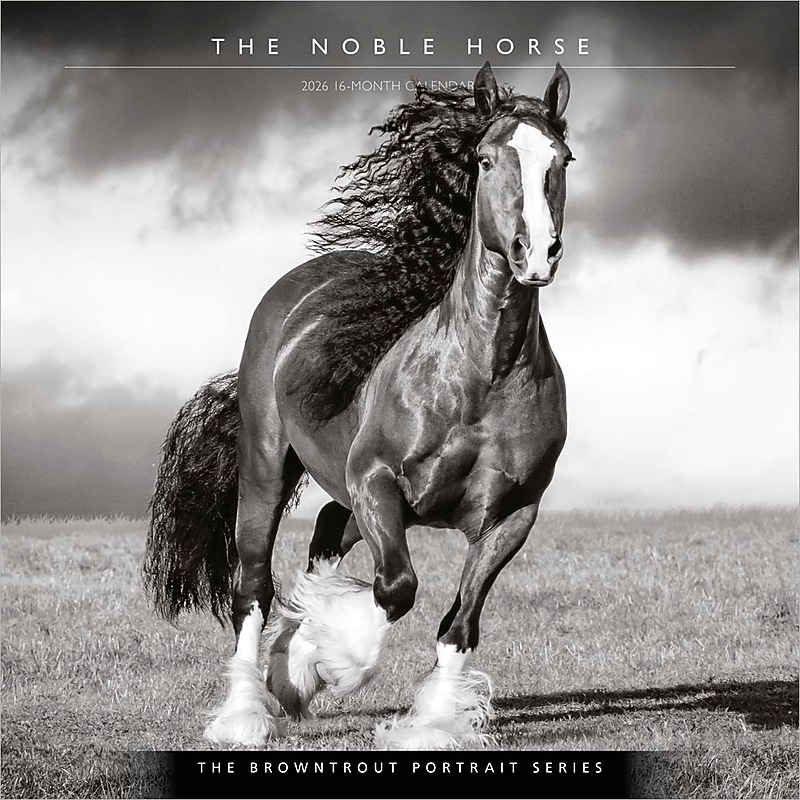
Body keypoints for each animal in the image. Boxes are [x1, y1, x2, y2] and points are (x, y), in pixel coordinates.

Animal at [144, 61, 572, 750]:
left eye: (563, 158)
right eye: (483, 159)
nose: (535, 252)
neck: (480, 378)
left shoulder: (513, 515)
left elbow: (460, 622)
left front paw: (429, 723)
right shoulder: (376, 482)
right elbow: (396, 588)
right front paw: (323, 663)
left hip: (344, 489)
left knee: (323, 532)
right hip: (268, 469)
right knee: (253, 586)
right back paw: (245, 713)